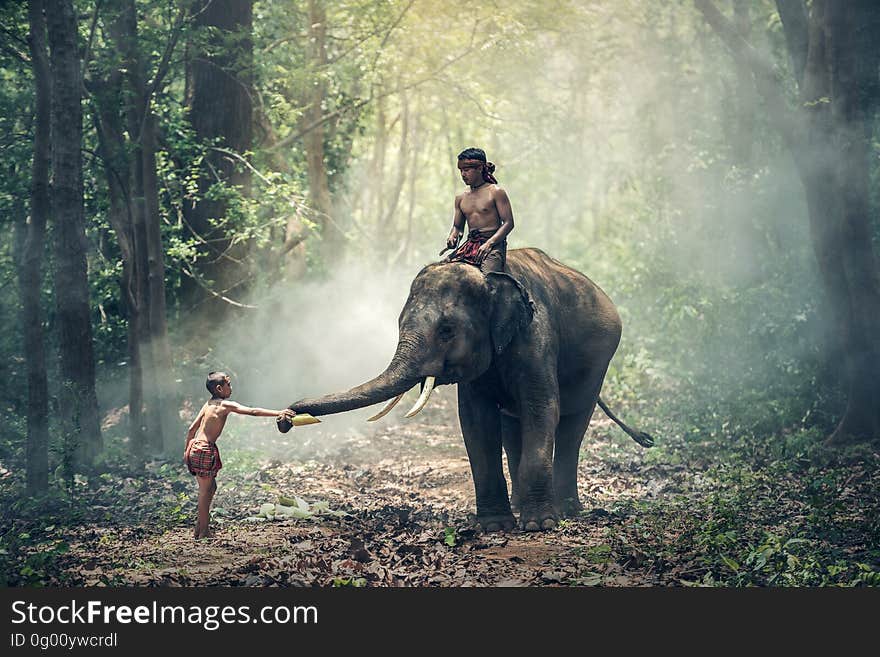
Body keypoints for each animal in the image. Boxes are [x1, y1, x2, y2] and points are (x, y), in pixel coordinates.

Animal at [276, 249, 652, 532]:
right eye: (399, 324)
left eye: (446, 330)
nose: (286, 417)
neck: (489, 278)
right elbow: (475, 421)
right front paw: (496, 526)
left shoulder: (536, 338)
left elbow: (542, 408)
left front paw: (539, 525)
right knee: (513, 427)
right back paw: (523, 505)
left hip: (599, 362)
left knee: (573, 424)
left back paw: (567, 510)